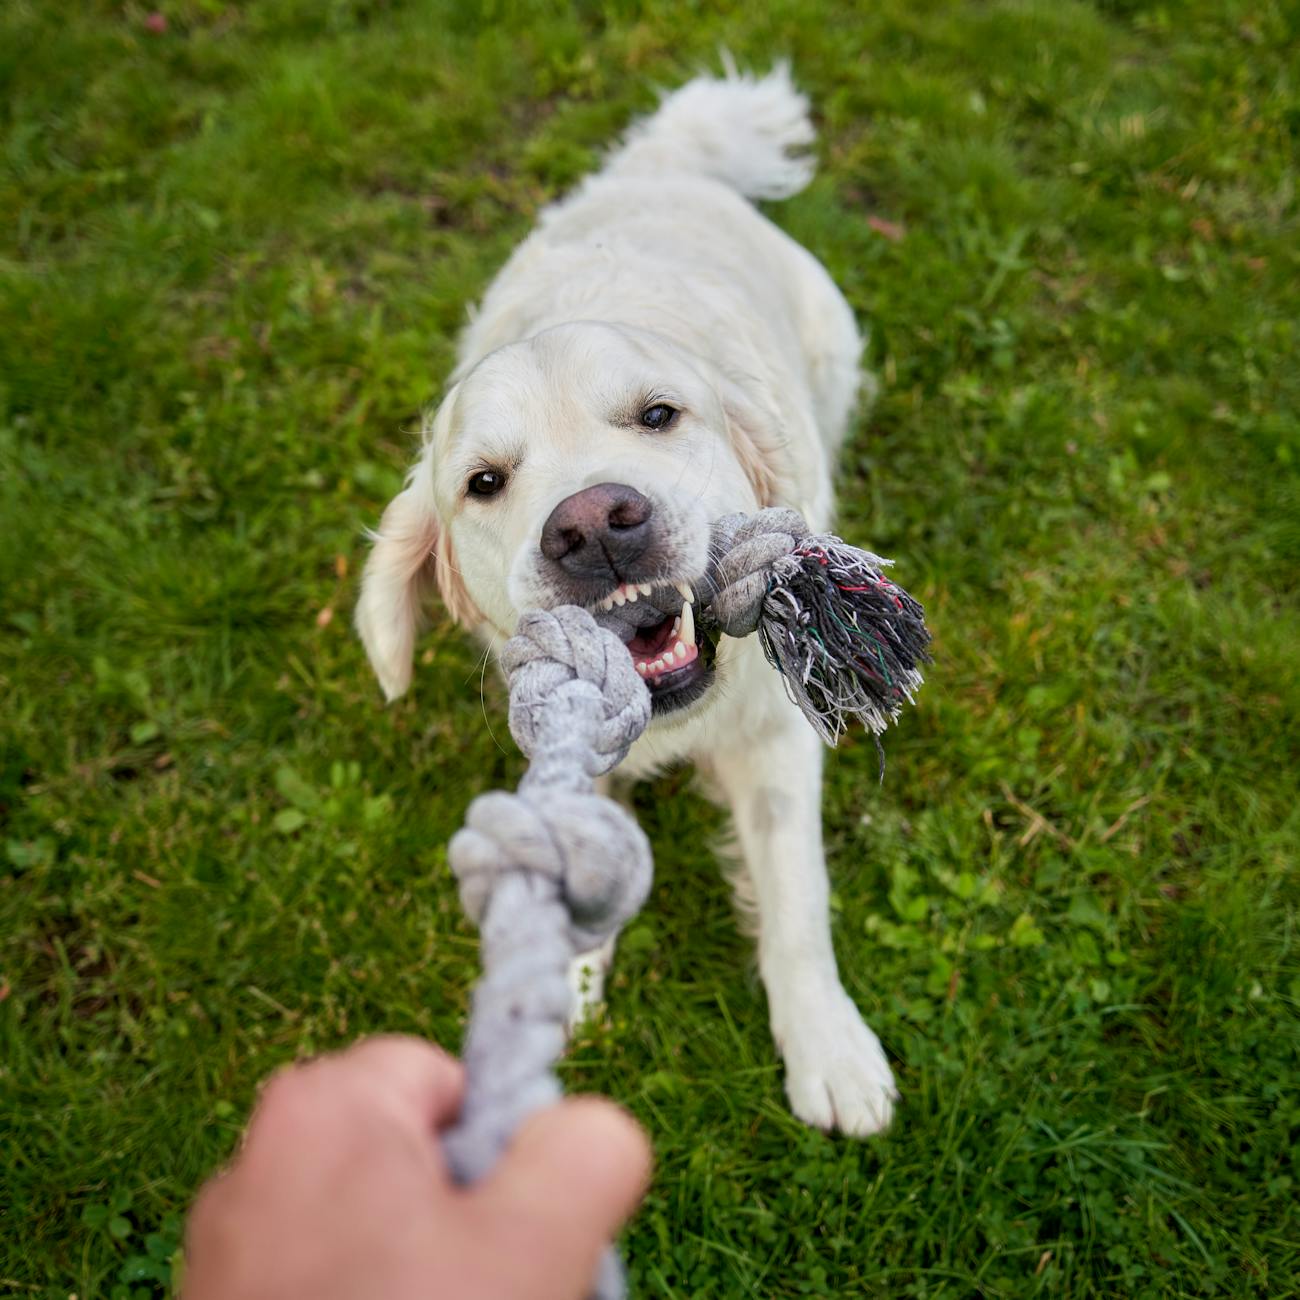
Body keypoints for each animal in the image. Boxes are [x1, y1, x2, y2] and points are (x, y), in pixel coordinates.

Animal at [361, 65, 899, 1133]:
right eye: (485, 482)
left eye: (658, 414)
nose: (593, 526)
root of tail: (664, 167)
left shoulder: (776, 737)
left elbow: (797, 895)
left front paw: (829, 1048)